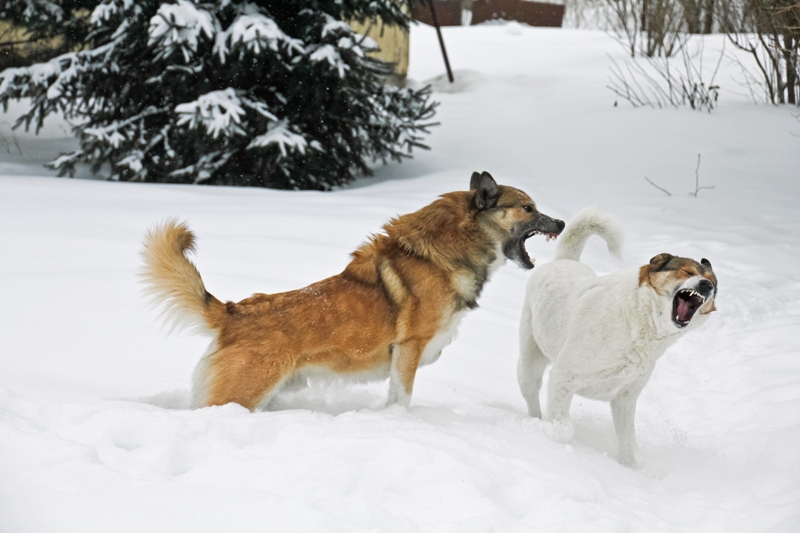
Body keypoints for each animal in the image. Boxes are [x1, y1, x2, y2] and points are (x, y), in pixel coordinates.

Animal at [142, 172, 564, 410]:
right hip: (241, 394)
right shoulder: (408, 349)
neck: (446, 253)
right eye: (528, 208)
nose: (560, 222)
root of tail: (232, 311)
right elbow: (401, 397)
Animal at [520, 208, 720, 466]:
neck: (641, 327)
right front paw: (555, 438)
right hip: (529, 365)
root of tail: (565, 261)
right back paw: (534, 421)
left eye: (714, 284)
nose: (706, 285)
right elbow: (561, 427)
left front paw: (633, 467)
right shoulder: (563, 377)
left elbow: (628, 445)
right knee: (532, 397)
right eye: (687, 271)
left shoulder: (625, 399)